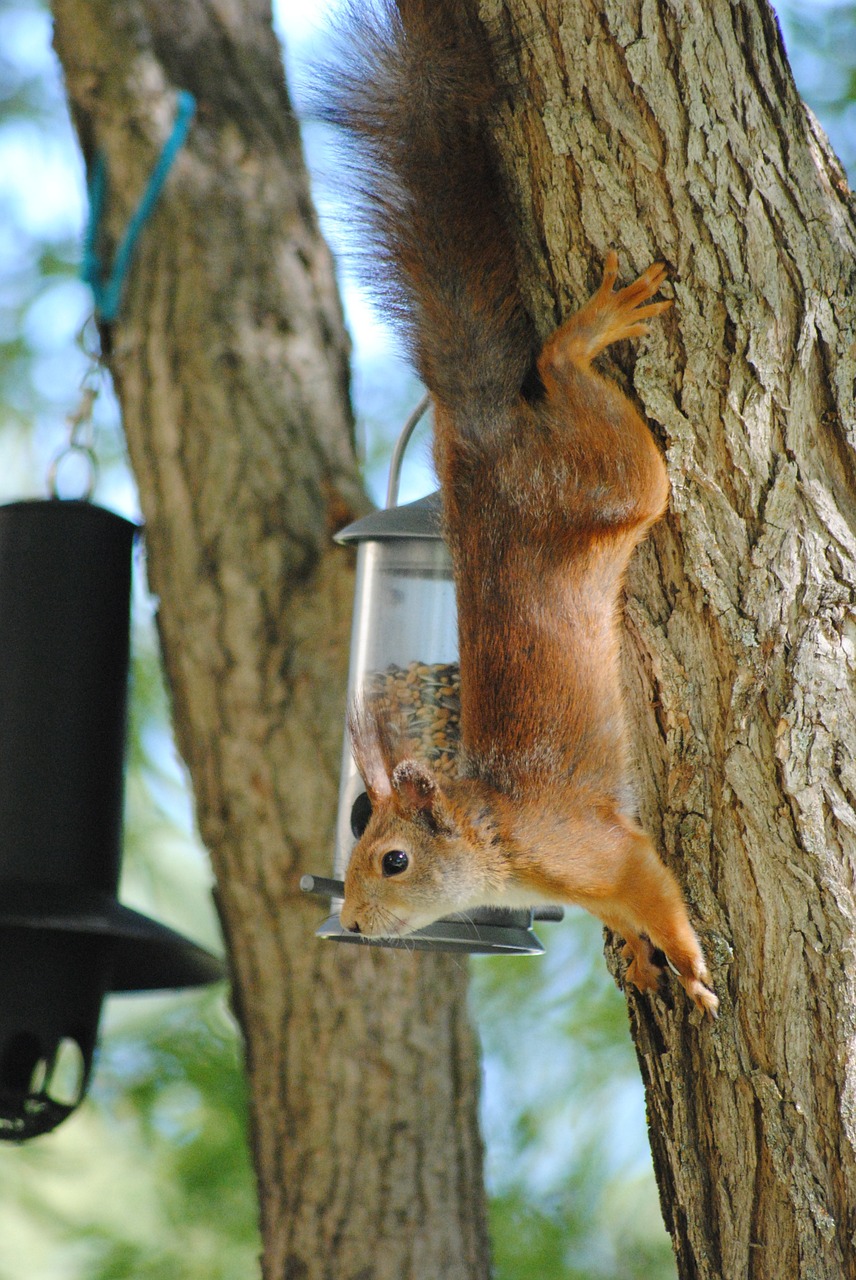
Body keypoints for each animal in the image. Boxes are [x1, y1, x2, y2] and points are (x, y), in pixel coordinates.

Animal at [330, 0, 716, 1018]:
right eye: (355, 846)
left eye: (391, 858)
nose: (353, 924)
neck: (500, 835)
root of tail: (485, 440)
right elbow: (628, 916)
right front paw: (644, 959)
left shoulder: (600, 848)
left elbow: (653, 890)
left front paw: (687, 961)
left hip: (618, 484)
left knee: (559, 371)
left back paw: (586, 335)